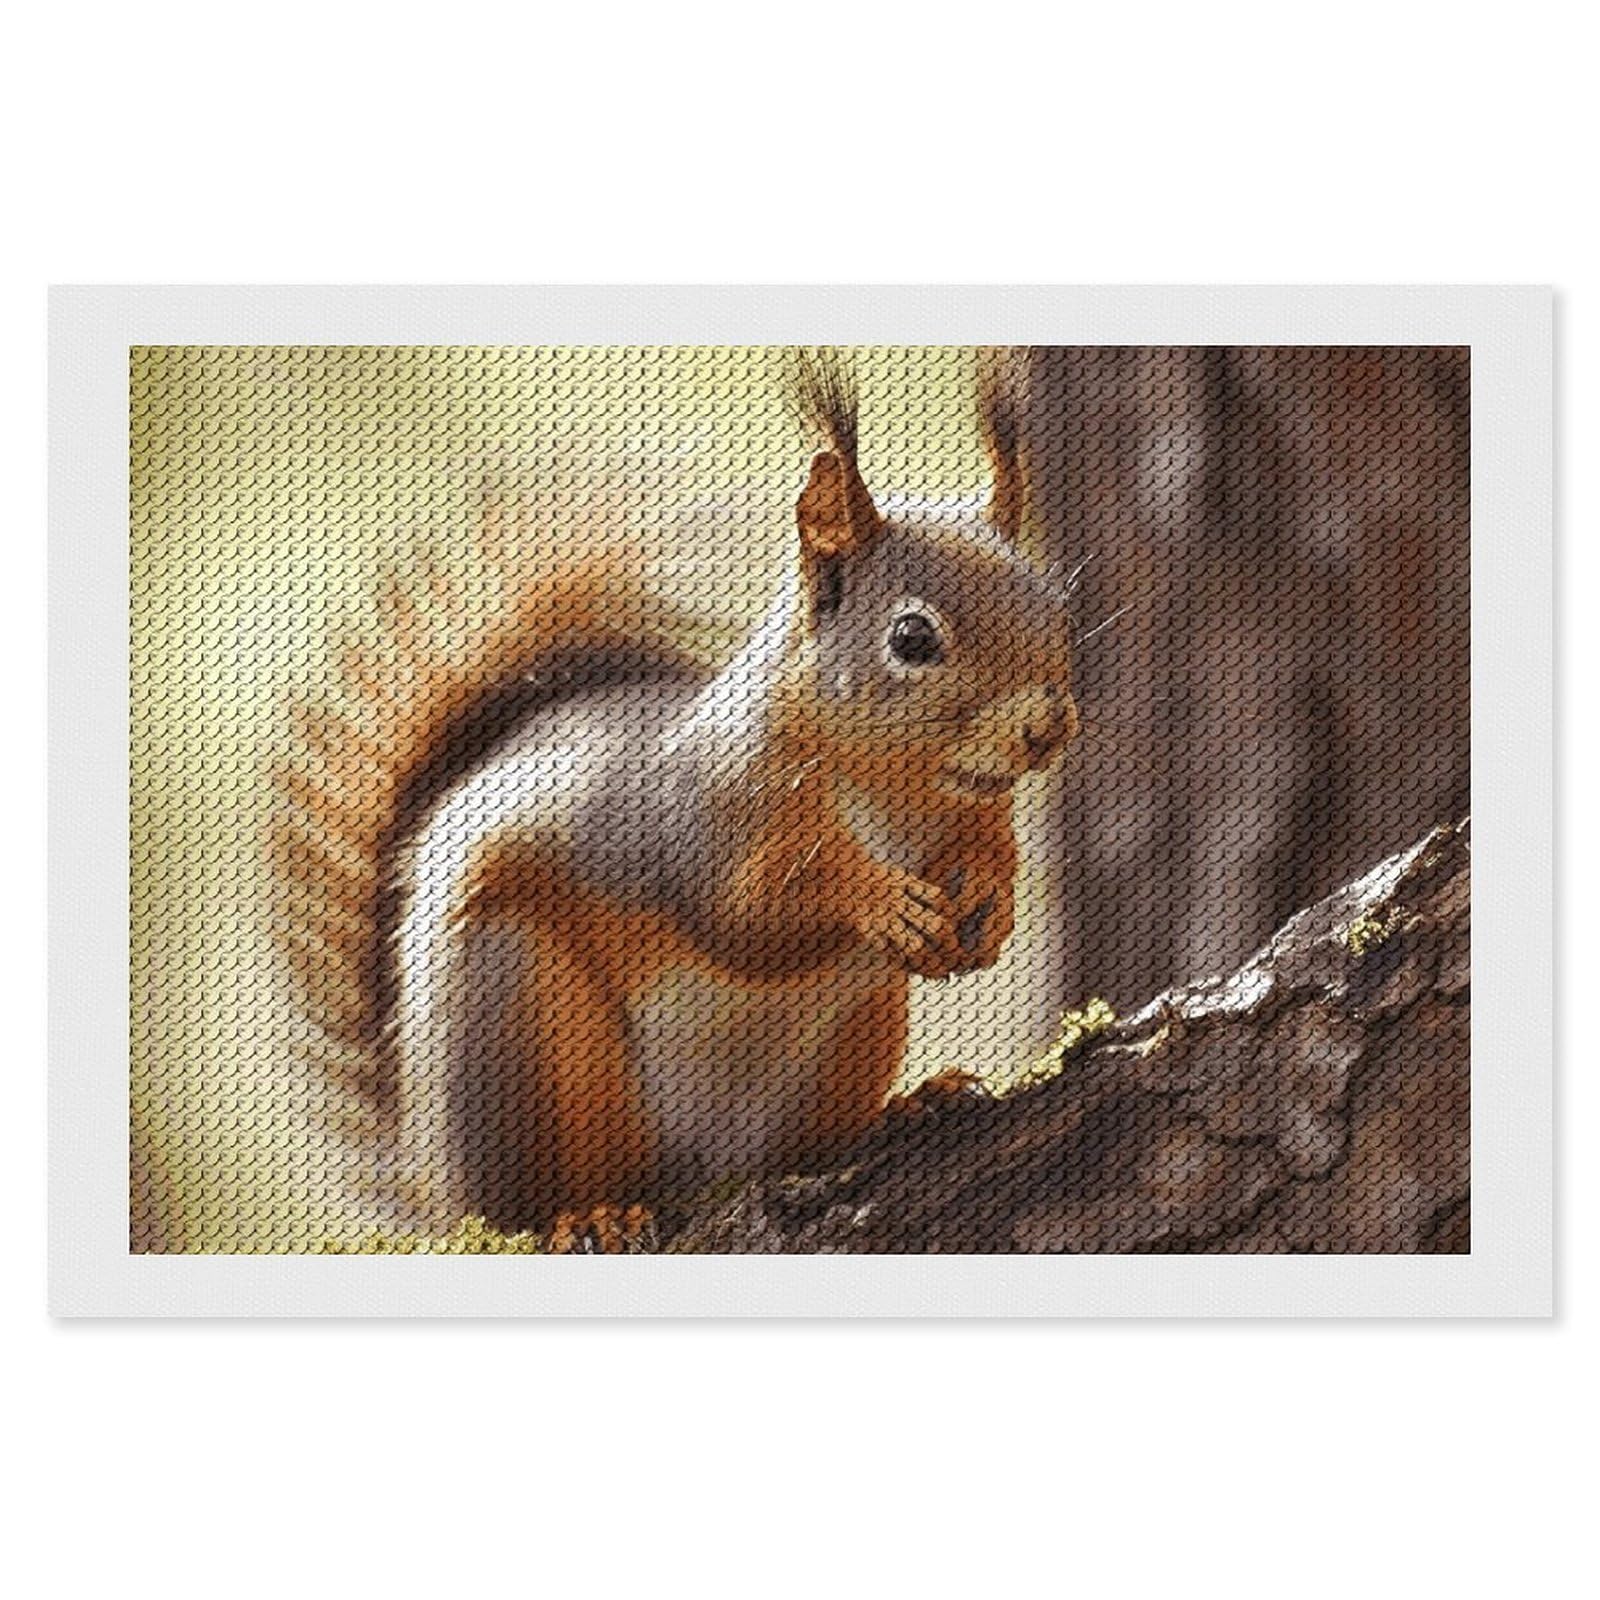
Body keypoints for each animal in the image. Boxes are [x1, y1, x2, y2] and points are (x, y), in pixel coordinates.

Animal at [269, 351, 1080, 1249]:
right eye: (912, 638)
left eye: (1057, 607)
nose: (1045, 727)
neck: (894, 791)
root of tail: (438, 1187)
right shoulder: (706, 818)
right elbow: (749, 916)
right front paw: (875, 897)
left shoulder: (977, 815)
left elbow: (989, 855)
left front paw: (991, 903)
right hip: (519, 1019)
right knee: (536, 1198)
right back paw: (587, 1215)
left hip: (858, 1026)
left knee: (808, 1148)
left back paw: (906, 1107)